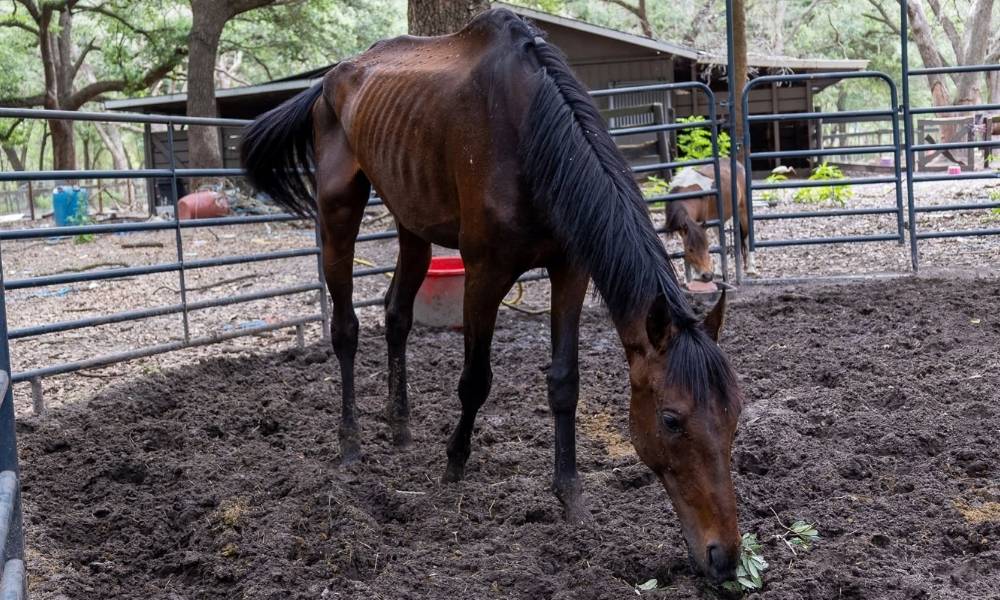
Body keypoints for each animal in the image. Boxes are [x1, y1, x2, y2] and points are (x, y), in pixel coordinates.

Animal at [240, 8, 743, 583]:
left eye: (734, 415)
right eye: (671, 420)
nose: (725, 557)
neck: (532, 132)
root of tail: (332, 79)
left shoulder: (570, 268)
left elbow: (564, 382)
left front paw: (571, 497)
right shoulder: (484, 272)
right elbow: (475, 380)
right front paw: (454, 464)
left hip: (411, 220)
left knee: (396, 315)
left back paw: (400, 426)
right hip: (339, 208)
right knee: (345, 328)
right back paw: (351, 443)